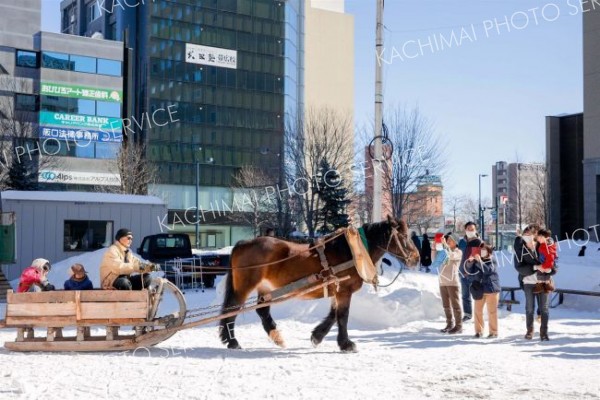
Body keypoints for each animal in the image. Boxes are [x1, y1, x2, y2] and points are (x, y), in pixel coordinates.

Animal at [218, 217, 420, 352]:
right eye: (403, 235)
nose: (416, 258)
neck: (353, 251)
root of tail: (243, 243)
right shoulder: (344, 290)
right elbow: (342, 316)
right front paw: (346, 344)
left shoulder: (337, 289)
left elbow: (333, 315)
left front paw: (317, 336)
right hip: (244, 287)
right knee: (231, 310)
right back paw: (233, 341)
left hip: (265, 287)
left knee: (262, 311)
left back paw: (277, 338)